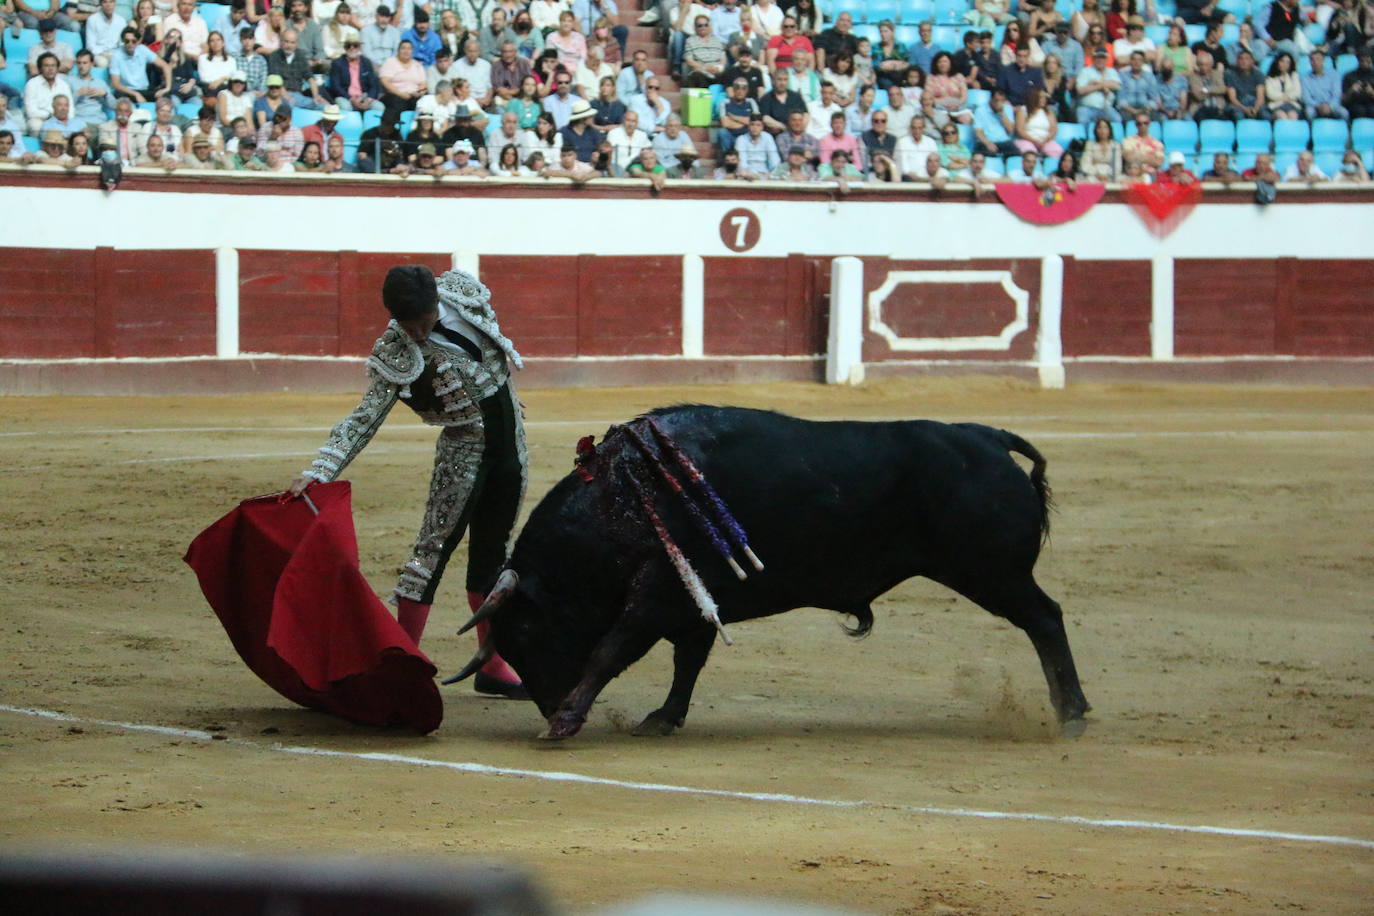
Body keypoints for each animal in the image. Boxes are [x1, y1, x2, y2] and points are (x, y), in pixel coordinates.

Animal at [456, 403, 1088, 741]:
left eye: (527, 632)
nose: (547, 704)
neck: (624, 496)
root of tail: (987, 436)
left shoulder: (658, 596)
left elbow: (612, 650)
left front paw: (566, 723)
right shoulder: (693, 605)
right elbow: (688, 662)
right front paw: (662, 718)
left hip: (993, 573)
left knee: (1045, 618)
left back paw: (1072, 714)